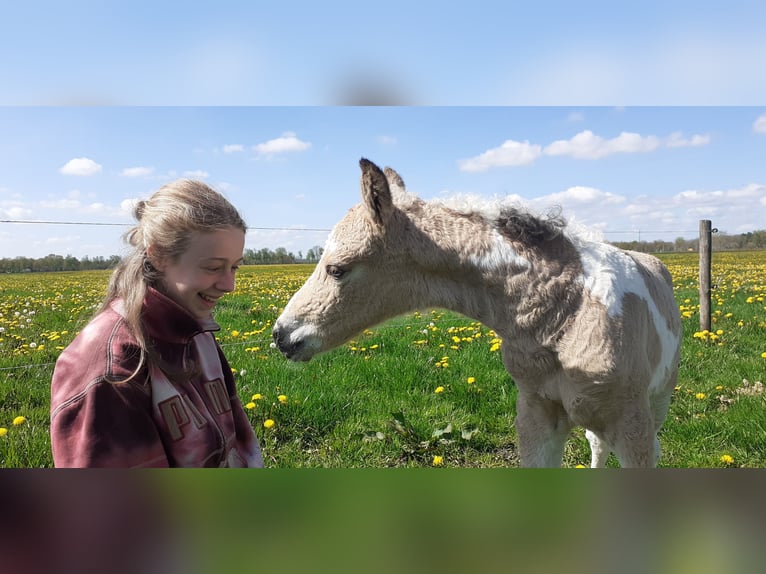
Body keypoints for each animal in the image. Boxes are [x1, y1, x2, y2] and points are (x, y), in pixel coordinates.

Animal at [273, 158, 682, 467]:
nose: (282, 335)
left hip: (658, 400)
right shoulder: (536, 416)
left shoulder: (632, 426)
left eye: (337, 269)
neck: (566, 314)